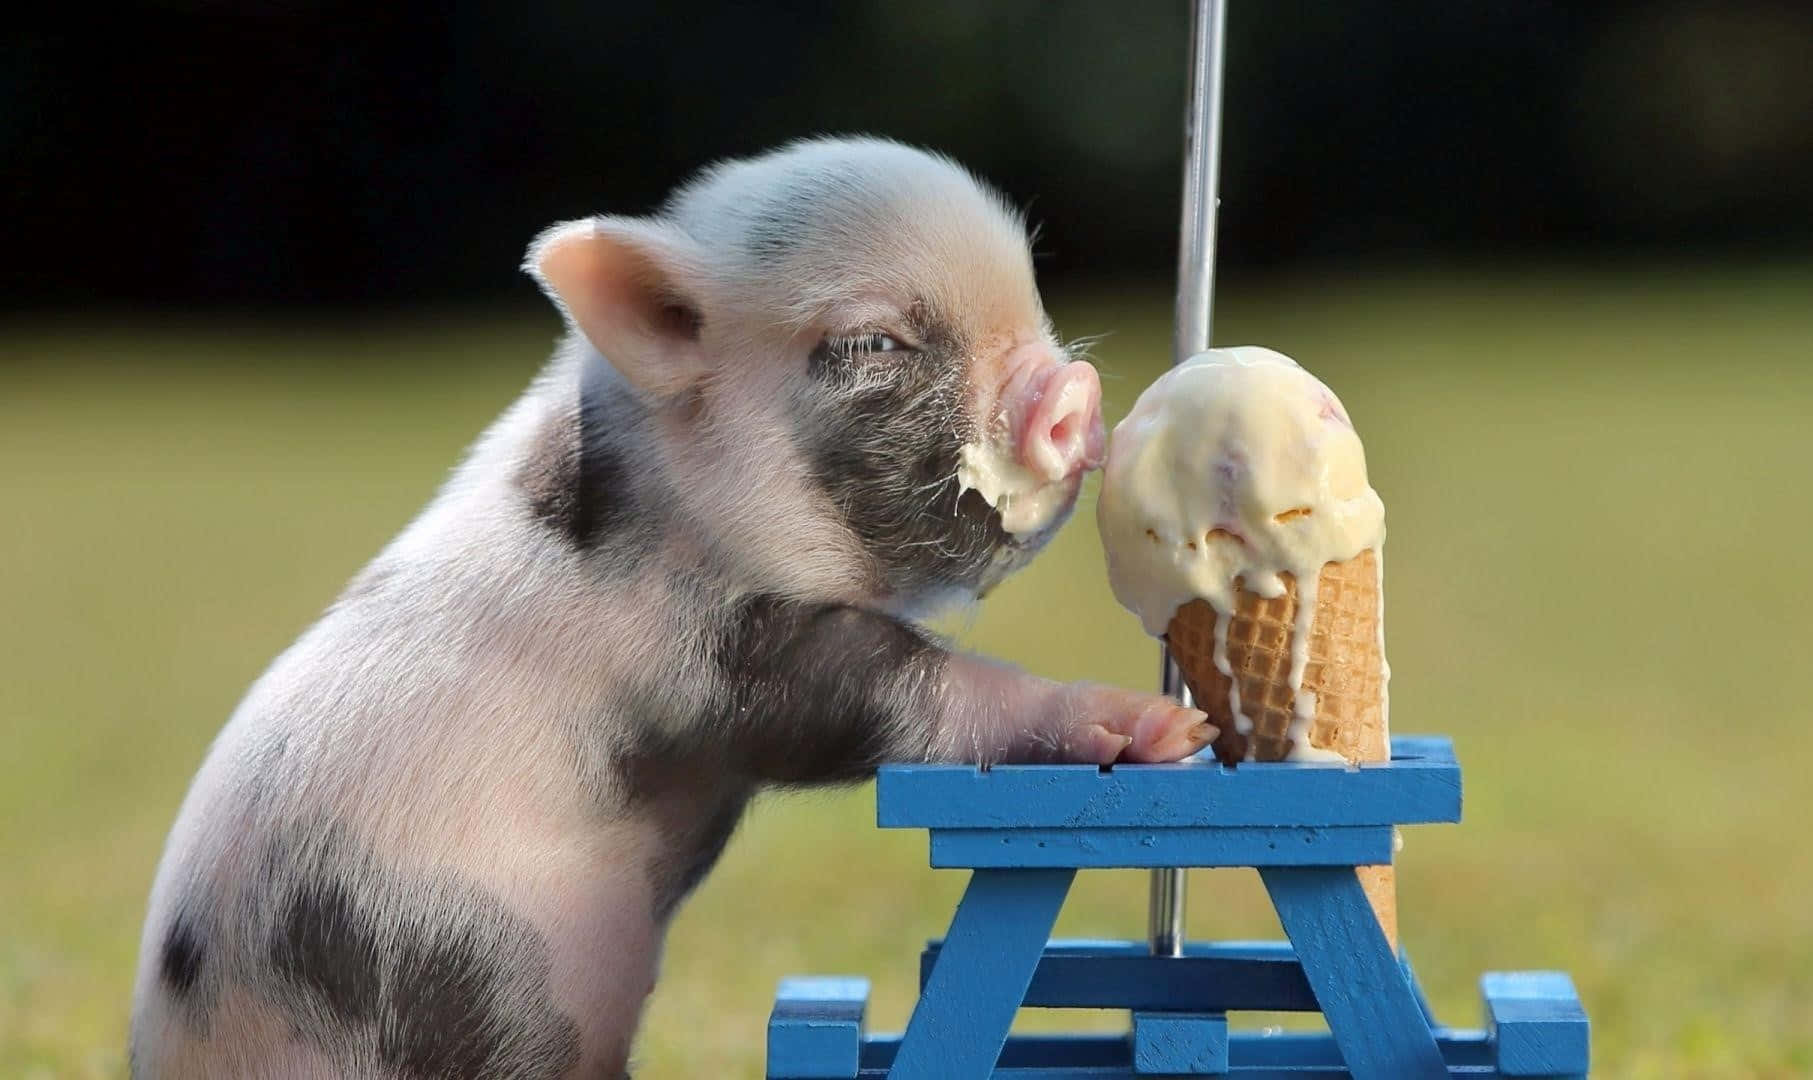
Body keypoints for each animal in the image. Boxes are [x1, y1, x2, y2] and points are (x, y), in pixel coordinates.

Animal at [129, 136, 1216, 1079]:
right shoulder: (709, 664)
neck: (674, 499)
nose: (1074, 393)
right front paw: (1155, 728)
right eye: (873, 341)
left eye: (1031, 300)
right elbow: (904, 697)